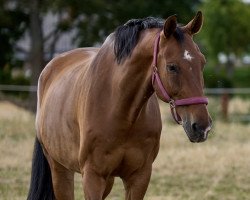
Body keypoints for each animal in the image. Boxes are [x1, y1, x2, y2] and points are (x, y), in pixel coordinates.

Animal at [27, 11, 212, 199]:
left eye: (202, 62)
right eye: (172, 67)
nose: (202, 127)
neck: (120, 112)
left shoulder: (139, 177)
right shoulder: (93, 177)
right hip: (60, 171)